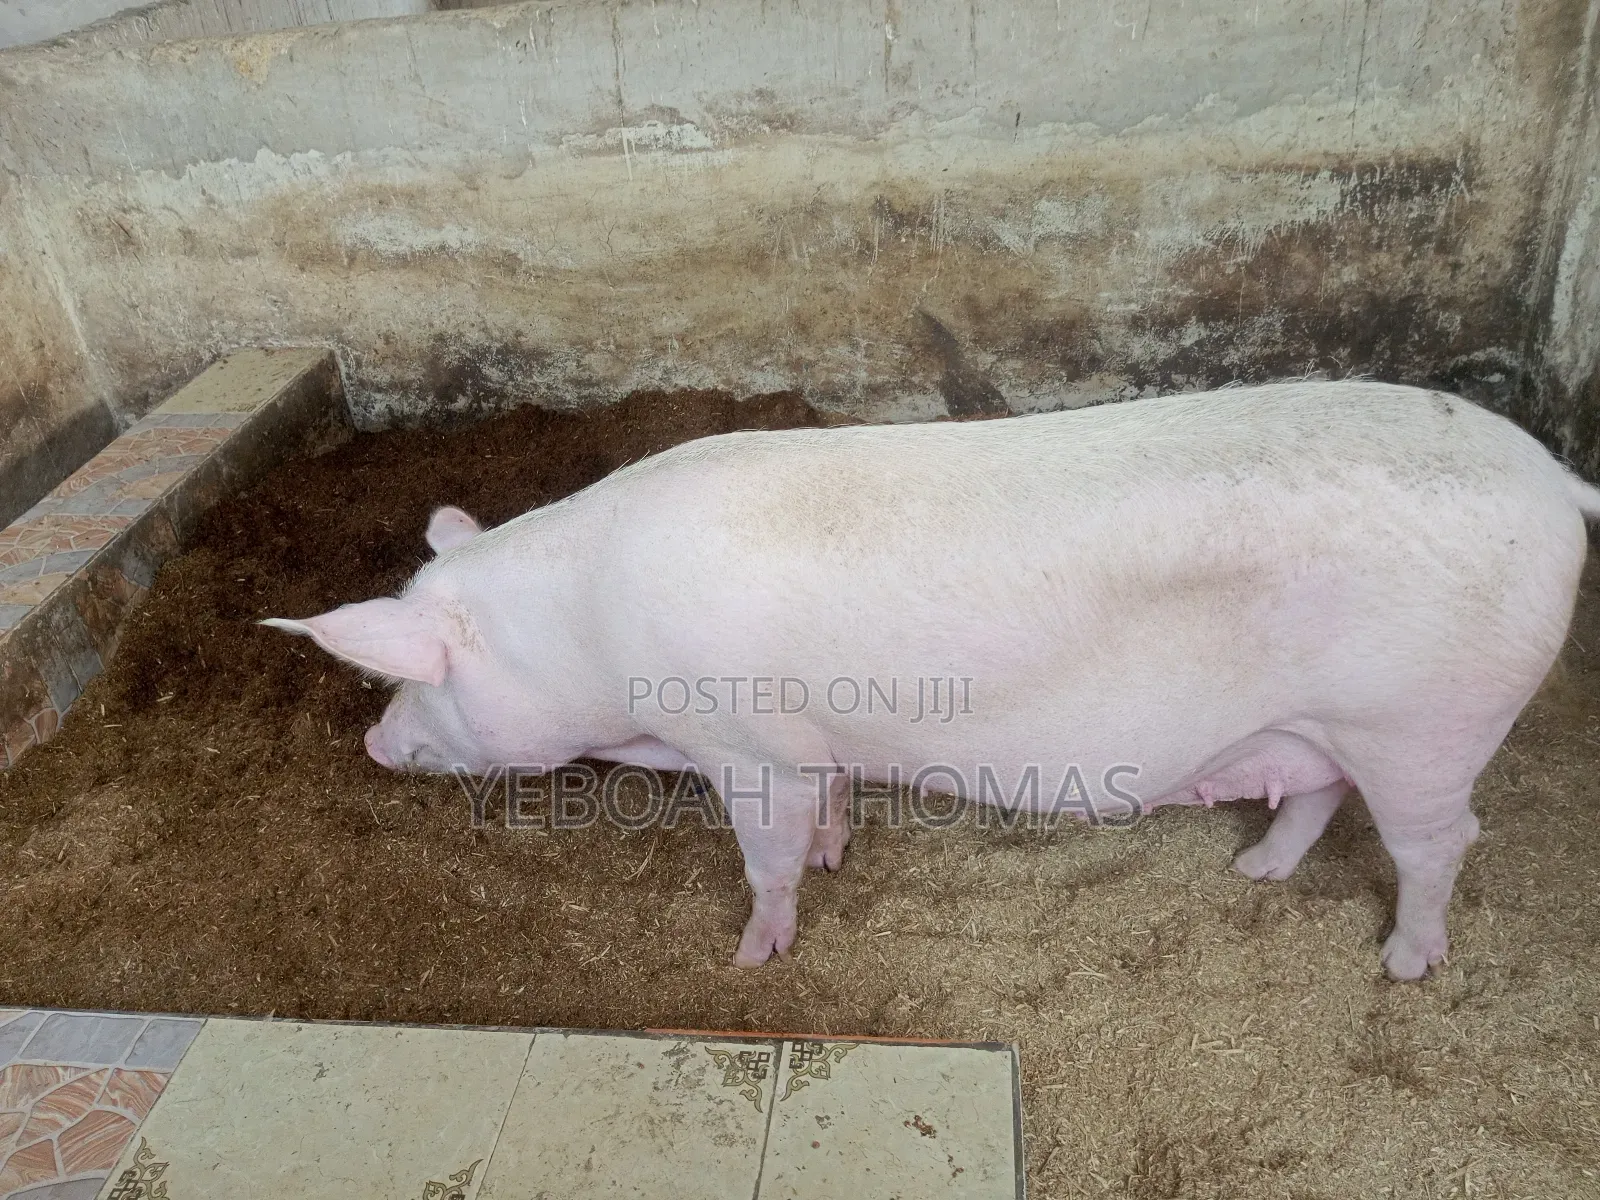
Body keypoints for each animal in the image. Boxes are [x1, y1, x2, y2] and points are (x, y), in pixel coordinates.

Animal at [263, 381, 1600, 980]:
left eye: (419, 676)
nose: (373, 744)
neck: (592, 643)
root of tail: (1552, 478)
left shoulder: (746, 748)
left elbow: (763, 851)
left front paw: (753, 956)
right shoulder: (815, 743)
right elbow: (832, 807)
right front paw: (837, 857)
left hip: (1425, 721)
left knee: (1443, 840)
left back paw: (1405, 965)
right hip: (1321, 721)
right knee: (1314, 792)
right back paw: (1254, 874)